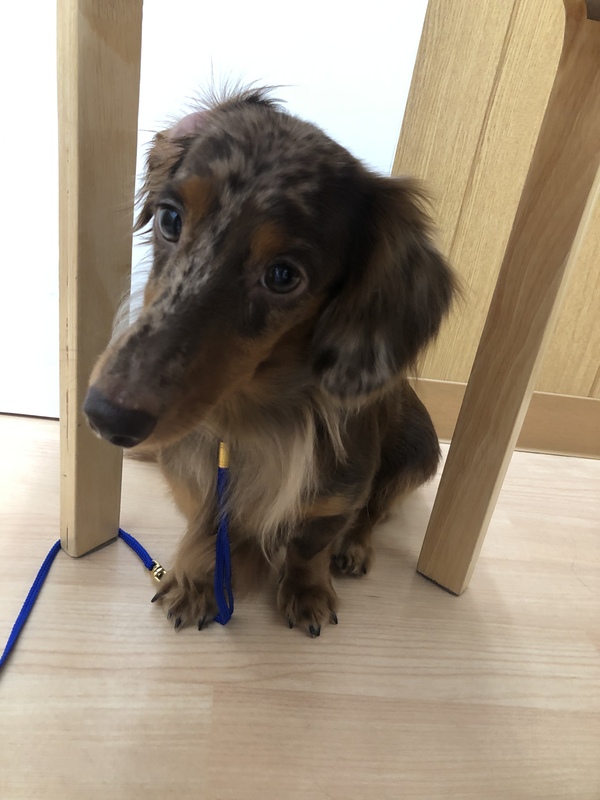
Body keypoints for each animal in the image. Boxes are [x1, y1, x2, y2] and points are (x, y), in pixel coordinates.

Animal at [84, 86, 455, 636]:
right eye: (170, 218)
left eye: (283, 276)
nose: (106, 417)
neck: (249, 419)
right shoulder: (194, 477)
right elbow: (207, 527)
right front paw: (199, 580)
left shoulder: (337, 492)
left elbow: (311, 543)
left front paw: (307, 591)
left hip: (419, 453)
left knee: (374, 512)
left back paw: (354, 549)